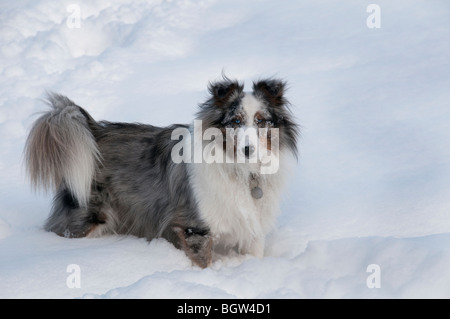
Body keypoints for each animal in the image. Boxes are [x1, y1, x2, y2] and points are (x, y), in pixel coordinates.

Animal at [24, 77, 298, 268]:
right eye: (235, 121)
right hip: (88, 217)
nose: (248, 150)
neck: (242, 171)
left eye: (261, 121)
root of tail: (94, 131)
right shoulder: (194, 228)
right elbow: (204, 264)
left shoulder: (252, 231)